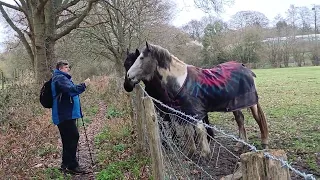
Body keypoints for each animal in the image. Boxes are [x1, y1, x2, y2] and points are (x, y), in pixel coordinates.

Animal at [126, 41, 268, 158]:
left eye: (141, 58)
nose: (128, 76)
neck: (181, 81)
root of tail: (246, 68)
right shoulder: (184, 113)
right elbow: (188, 132)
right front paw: (191, 152)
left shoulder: (196, 113)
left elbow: (200, 131)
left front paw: (204, 154)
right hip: (234, 105)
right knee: (240, 120)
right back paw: (240, 145)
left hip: (252, 103)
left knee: (259, 119)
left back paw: (264, 143)